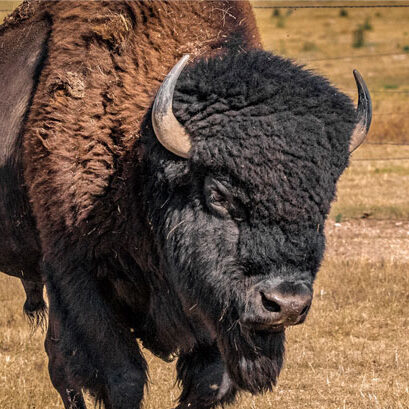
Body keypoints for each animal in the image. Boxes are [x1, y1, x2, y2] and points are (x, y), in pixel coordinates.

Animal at [0, 0, 370, 408]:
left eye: (324, 199)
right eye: (218, 194)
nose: (285, 303)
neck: (139, 161)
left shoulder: (213, 310)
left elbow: (208, 382)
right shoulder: (77, 276)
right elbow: (121, 376)